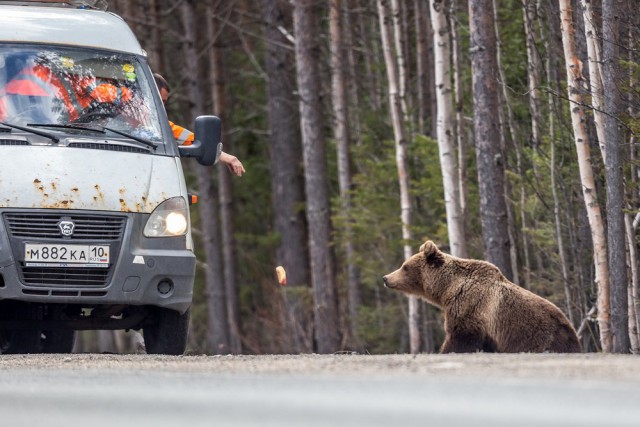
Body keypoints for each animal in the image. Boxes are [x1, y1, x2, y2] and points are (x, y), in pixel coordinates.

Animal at [382, 241, 584, 354]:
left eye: (405, 266)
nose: (385, 278)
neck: (447, 289)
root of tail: (572, 331)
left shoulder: (469, 306)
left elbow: (460, 337)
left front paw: (445, 351)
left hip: (541, 335)